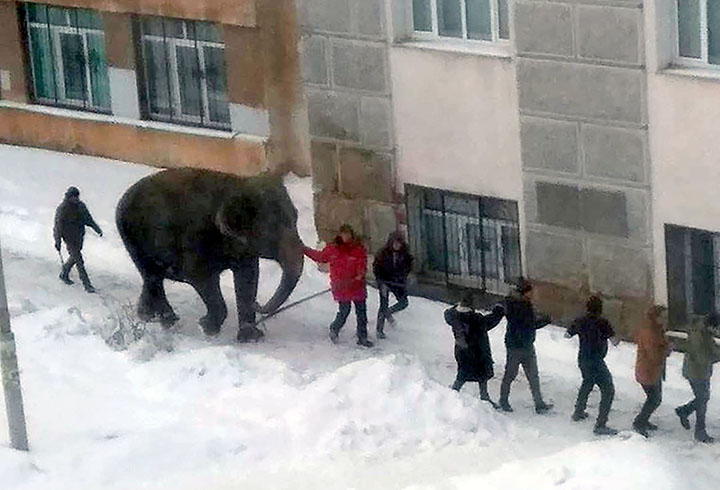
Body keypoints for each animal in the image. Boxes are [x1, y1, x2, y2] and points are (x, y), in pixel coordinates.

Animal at [114, 168, 304, 340]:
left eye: (296, 218)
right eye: (273, 230)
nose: (258, 303)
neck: (238, 184)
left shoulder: (243, 251)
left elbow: (248, 276)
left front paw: (251, 338)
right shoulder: (195, 238)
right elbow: (200, 277)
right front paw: (206, 327)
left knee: (152, 278)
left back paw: (148, 316)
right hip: (132, 238)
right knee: (151, 276)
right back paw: (167, 320)